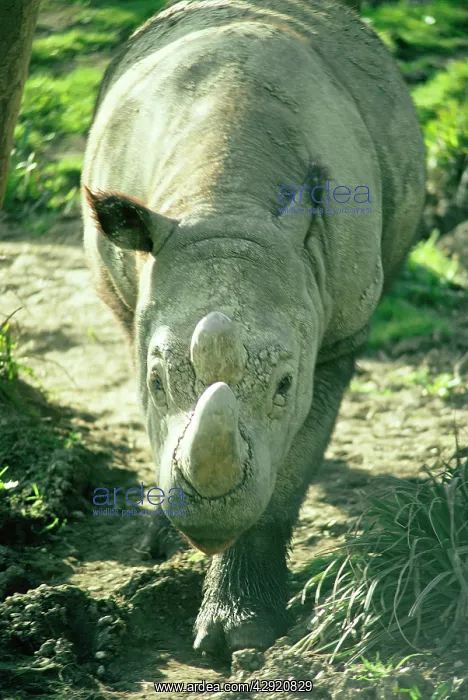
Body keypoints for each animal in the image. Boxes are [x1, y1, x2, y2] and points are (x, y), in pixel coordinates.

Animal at [81, 0, 426, 656]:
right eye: (157, 382)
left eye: (285, 384)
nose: (208, 520)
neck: (226, 200)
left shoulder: (335, 337)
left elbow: (283, 482)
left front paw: (241, 632)